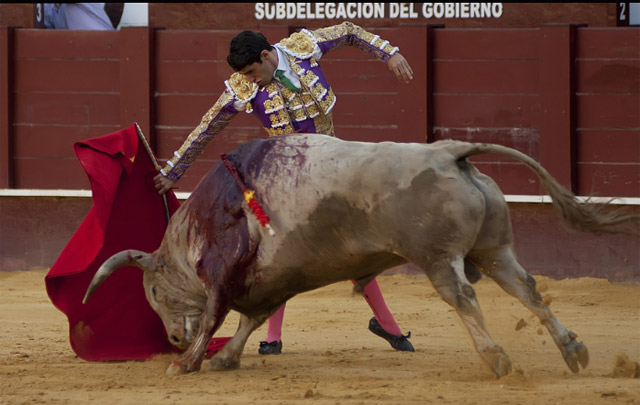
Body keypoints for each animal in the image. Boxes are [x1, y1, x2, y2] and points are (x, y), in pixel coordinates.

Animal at [82, 134, 636, 378]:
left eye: (154, 291)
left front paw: (188, 363)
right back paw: (572, 350)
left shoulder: (222, 273)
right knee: (529, 290)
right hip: (495, 250)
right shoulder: (270, 282)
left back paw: (496, 358)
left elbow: (220, 314)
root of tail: (448, 152)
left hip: (437, 258)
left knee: (462, 296)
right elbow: (249, 320)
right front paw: (226, 359)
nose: (173, 339)